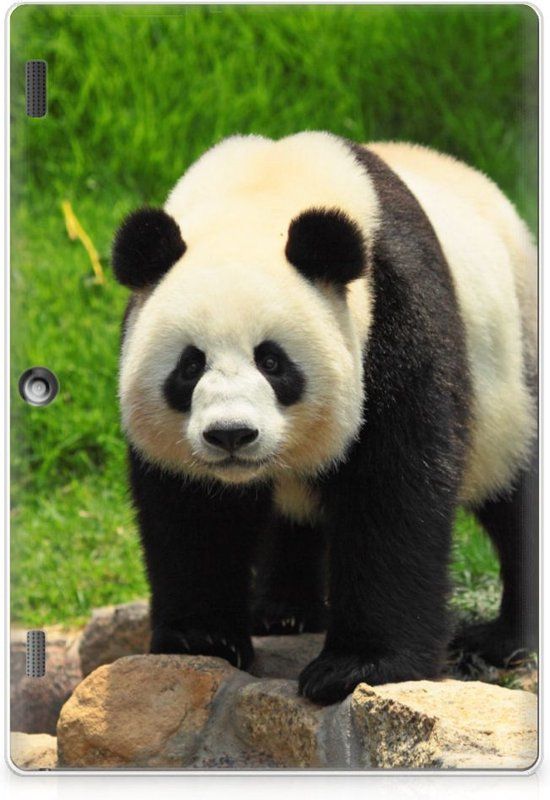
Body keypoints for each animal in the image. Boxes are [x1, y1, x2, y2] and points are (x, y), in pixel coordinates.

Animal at [112, 132, 537, 705]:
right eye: (190, 365)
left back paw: (502, 639)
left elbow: (393, 490)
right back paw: (284, 612)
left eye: (272, 361)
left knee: (516, 492)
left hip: (515, 370)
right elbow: (192, 509)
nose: (231, 435)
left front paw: (356, 667)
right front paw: (201, 639)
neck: (260, 195)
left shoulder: (395, 316)